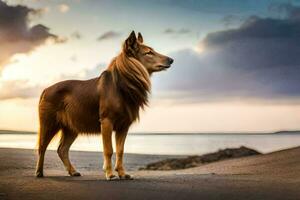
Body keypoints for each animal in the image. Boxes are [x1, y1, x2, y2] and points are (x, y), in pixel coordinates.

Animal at [35, 30, 173, 180]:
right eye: (149, 53)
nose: (171, 60)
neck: (122, 85)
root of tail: (45, 90)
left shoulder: (123, 126)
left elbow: (120, 150)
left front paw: (122, 173)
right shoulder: (107, 122)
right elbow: (109, 150)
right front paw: (110, 173)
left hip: (71, 127)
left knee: (62, 149)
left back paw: (73, 171)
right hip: (49, 123)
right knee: (42, 147)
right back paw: (39, 172)